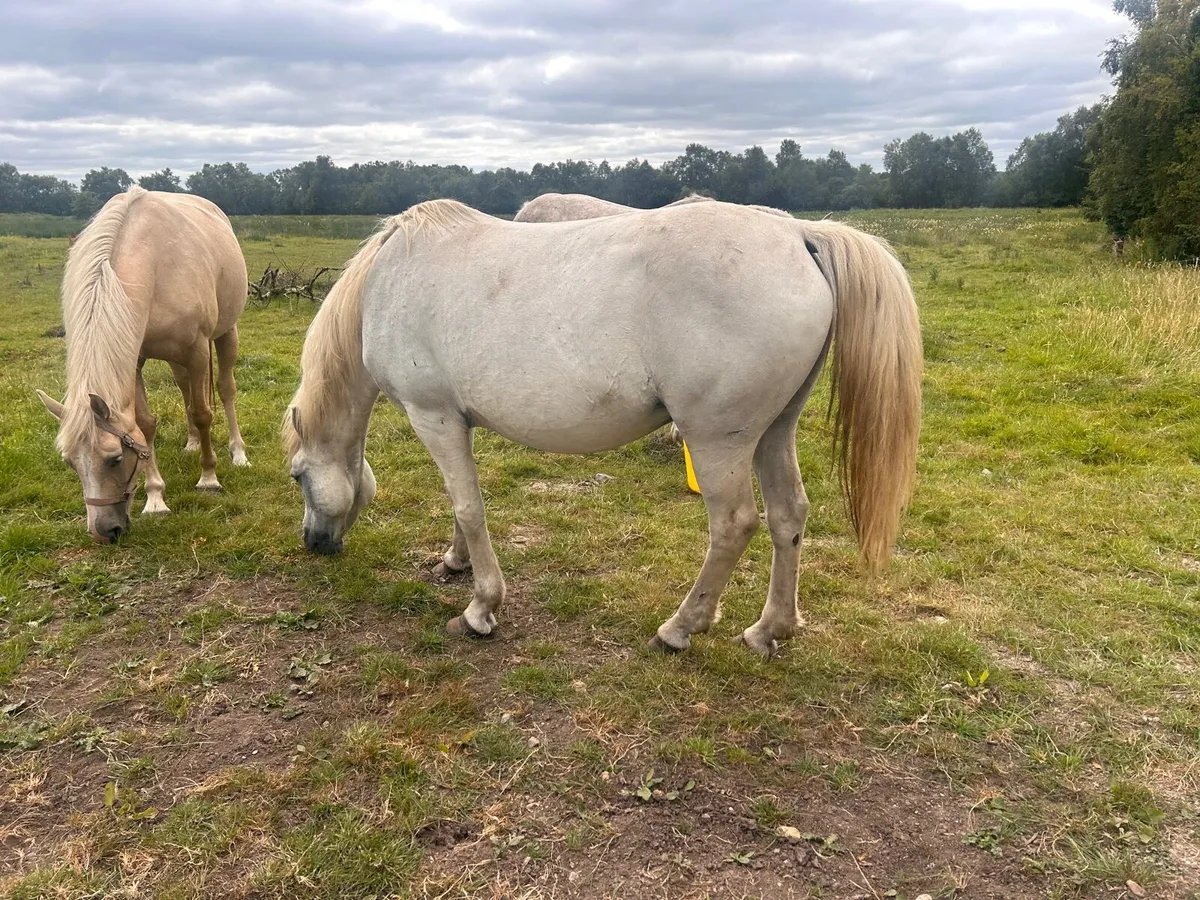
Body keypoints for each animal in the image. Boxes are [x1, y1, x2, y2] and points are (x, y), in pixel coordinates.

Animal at [37, 186, 251, 543]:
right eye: (70, 463)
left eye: (114, 459)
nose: (104, 532)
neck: (154, 267)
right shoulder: (133, 360)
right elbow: (145, 424)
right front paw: (155, 497)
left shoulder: (196, 350)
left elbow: (203, 413)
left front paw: (209, 478)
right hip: (176, 359)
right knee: (185, 389)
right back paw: (192, 443)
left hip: (224, 335)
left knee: (225, 390)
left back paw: (238, 452)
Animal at [284, 198, 921, 658]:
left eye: (296, 476)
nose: (313, 543)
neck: (388, 280)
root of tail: (797, 235)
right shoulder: (457, 422)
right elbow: (461, 504)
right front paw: (455, 562)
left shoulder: (433, 415)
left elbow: (468, 505)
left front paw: (481, 608)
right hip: (773, 432)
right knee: (788, 515)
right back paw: (770, 630)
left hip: (719, 442)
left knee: (735, 524)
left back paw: (679, 628)